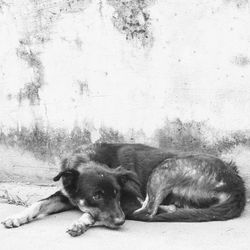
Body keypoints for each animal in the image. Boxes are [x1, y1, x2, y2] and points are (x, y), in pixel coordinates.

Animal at [0, 143, 246, 236]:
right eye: (97, 195)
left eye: (116, 193)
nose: (120, 222)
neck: (87, 159)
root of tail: (238, 184)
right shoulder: (66, 194)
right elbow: (38, 203)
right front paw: (17, 217)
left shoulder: (129, 200)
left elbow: (94, 214)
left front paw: (81, 222)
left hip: (163, 169)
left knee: (147, 212)